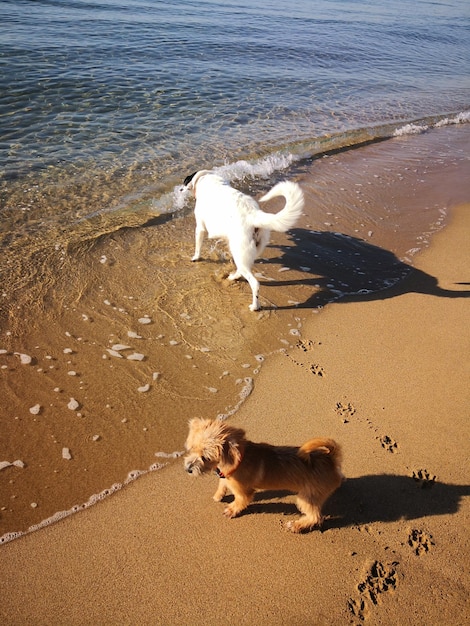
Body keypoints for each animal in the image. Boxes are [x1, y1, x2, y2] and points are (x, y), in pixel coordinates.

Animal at [182, 169, 302, 310]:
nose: (180, 189)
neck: (205, 178)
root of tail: (253, 214)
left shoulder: (200, 227)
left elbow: (198, 246)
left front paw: (195, 257)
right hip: (245, 251)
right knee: (241, 270)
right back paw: (232, 277)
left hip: (240, 251)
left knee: (254, 283)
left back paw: (254, 306)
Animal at [184, 416, 342, 528]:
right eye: (192, 449)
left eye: (206, 458)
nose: (188, 470)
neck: (240, 459)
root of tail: (330, 460)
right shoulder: (225, 477)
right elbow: (222, 484)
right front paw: (218, 495)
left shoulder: (244, 493)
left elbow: (239, 501)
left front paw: (231, 510)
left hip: (306, 497)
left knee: (315, 517)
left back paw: (296, 525)